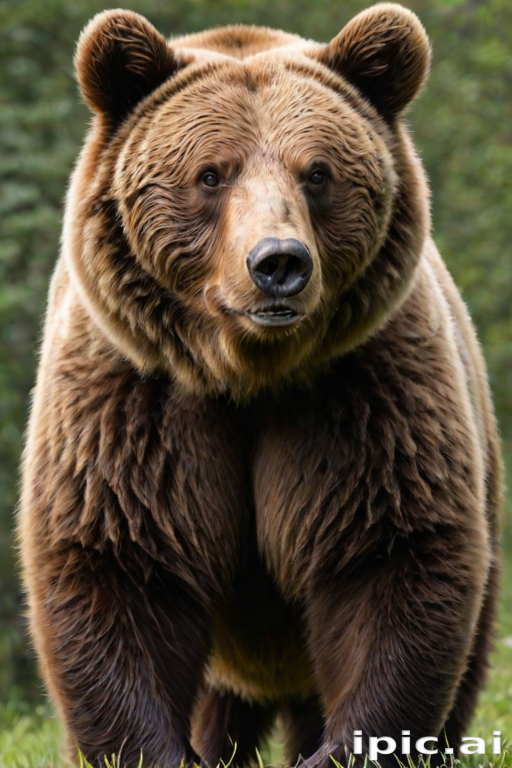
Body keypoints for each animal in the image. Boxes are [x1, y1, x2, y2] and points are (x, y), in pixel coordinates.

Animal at [18, 4, 502, 768]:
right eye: (211, 173)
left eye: (318, 172)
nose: (278, 263)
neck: (248, 373)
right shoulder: (135, 407)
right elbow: (117, 567)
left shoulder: (364, 401)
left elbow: (388, 559)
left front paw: (344, 747)